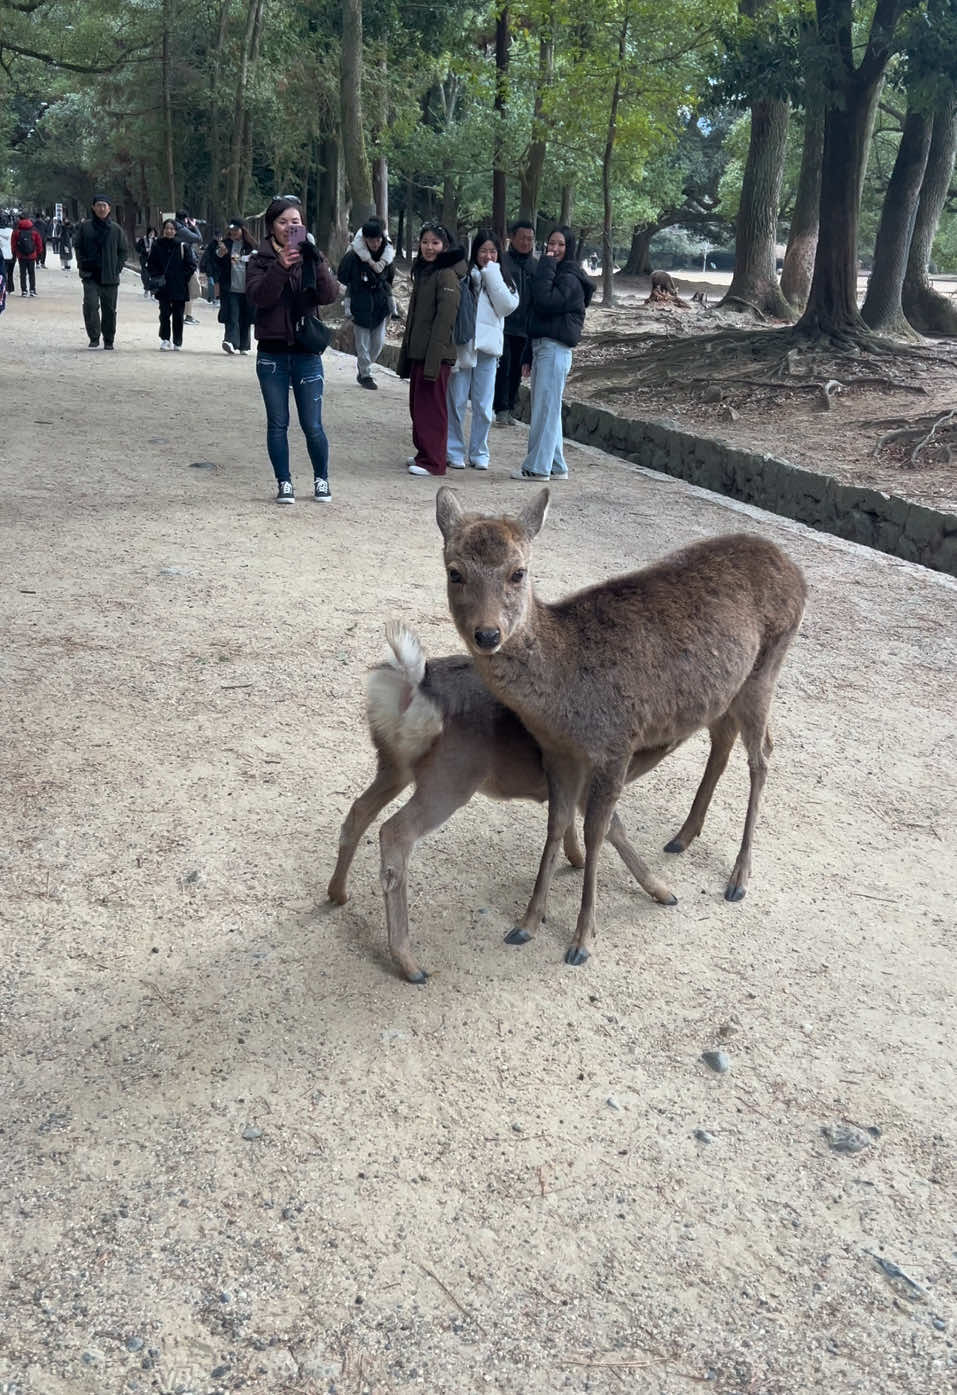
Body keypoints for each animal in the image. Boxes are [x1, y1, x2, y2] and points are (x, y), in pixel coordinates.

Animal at [329, 622, 683, 982]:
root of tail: (410, 683)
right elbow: (615, 830)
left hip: (392, 764)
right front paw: (663, 891)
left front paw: (577, 858)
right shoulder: (590, 780)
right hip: (450, 778)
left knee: (358, 811)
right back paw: (410, 964)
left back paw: (337, 893)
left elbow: (571, 820)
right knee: (394, 832)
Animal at [438, 485, 803, 965]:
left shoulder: (617, 743)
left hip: (766, 670)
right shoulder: (556, 752)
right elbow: (556, 824)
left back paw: (739, 878)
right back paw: (682, 837)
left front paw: (581, 941)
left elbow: (594, 833)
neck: (561, 701)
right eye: (454, 572)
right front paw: (526, 924)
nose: (487, 634)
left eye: (518, 572)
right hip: (725, 691)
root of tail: (795, 569)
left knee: (762, 757)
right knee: (724, 741)